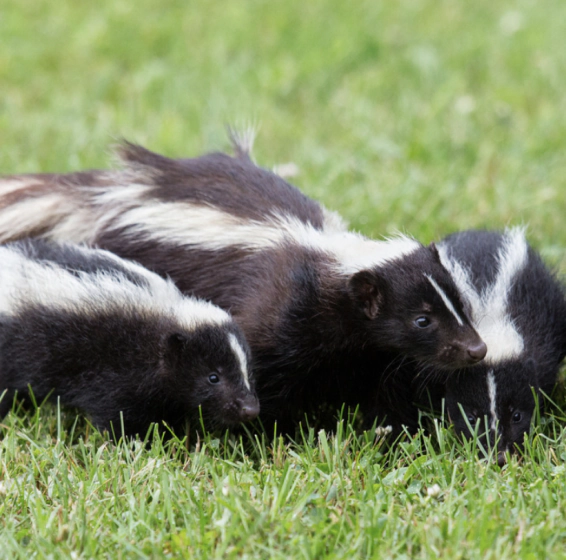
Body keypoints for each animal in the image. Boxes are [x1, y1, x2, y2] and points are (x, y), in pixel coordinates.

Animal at [0, 238, 260, 436]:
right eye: (213, 377)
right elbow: (118, 415)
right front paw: (134, 443)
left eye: (248, 373)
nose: (250, 408)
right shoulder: (115, 371)